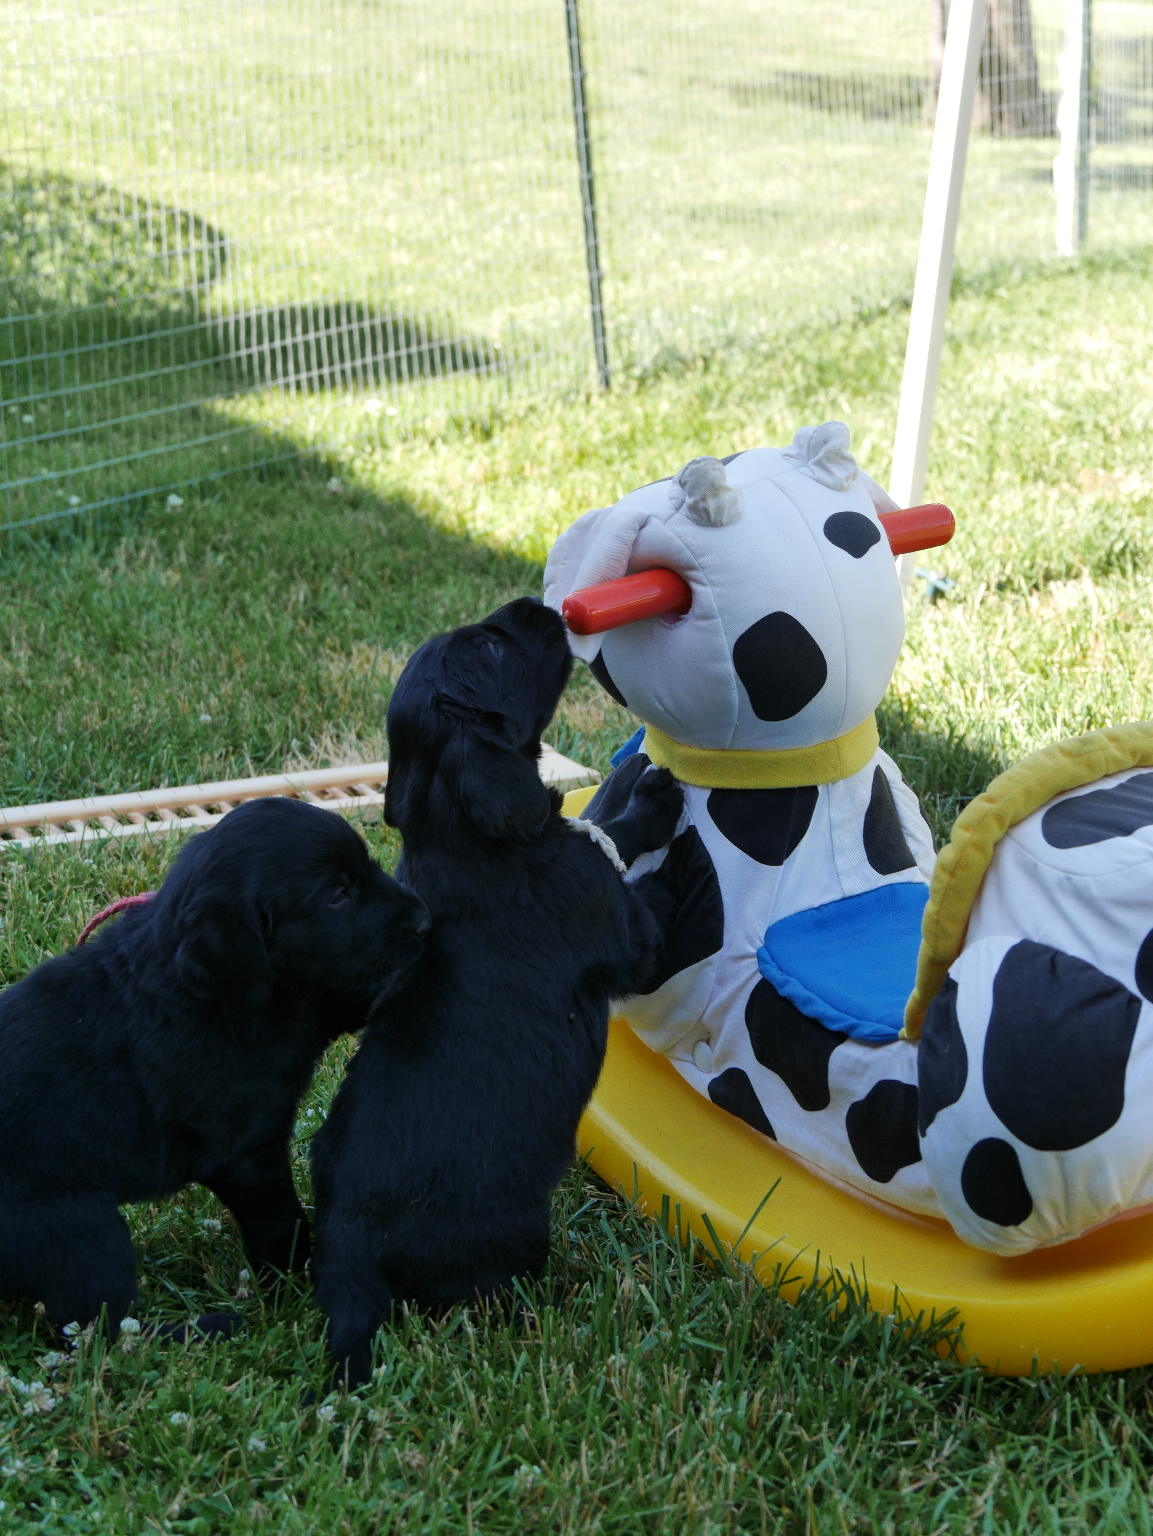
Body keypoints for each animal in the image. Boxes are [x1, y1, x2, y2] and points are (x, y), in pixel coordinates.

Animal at [0, 796, 429, 1341]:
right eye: (337, 895)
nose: (424, 920)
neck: (200, 995)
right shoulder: (246, 1154)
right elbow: (280, 1222)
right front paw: (292, 1280)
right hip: (77, 1228)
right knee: (101, 1327)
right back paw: (210, 1325)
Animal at [309, 597, 681, 1386]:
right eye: (489, 645)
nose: (540, 605)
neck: (461, 834)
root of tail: (348, 1253)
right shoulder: (624, 933)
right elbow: (639, 875)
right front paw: (665, 814)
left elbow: (598, 823)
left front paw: (636, 780)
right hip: (514, 1232)